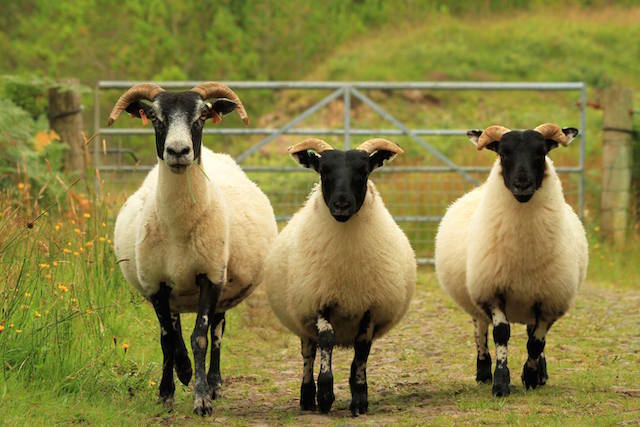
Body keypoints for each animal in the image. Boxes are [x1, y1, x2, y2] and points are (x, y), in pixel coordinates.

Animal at [109, 82, 277, 415]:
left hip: (224, 287)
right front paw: (168, 390)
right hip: (173, 293)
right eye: (154, 116)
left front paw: (202, 397)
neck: (178, 228)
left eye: (201, 116)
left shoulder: (210, 277)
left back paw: (215, 383)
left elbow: (199, 337)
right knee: (175, 330)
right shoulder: (156, 285)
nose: (178, 152)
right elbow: (167, 339)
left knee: (217, 331)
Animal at [262, 137, 416, 416]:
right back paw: (307, 397)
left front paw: (360, 399)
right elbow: (326, 341)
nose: (342, 205)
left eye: (364, 171)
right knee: (308, 354)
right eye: (323, 171)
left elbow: (361, 352)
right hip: (302, 317)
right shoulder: (319, 300)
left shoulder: (371, 307)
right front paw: (324, 395)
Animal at [434, 123, 588, 397]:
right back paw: (483, 371)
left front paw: (531, 376)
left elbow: (536, 343)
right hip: (476, 296)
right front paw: (500, 382)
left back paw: (541, 373)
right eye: (503, 154)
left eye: (541, 153)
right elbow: (501, 334)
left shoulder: (549, 301)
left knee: (531, 335)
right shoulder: (492, 291)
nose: (522, 185)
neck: (524, 254)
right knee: (480, 331)